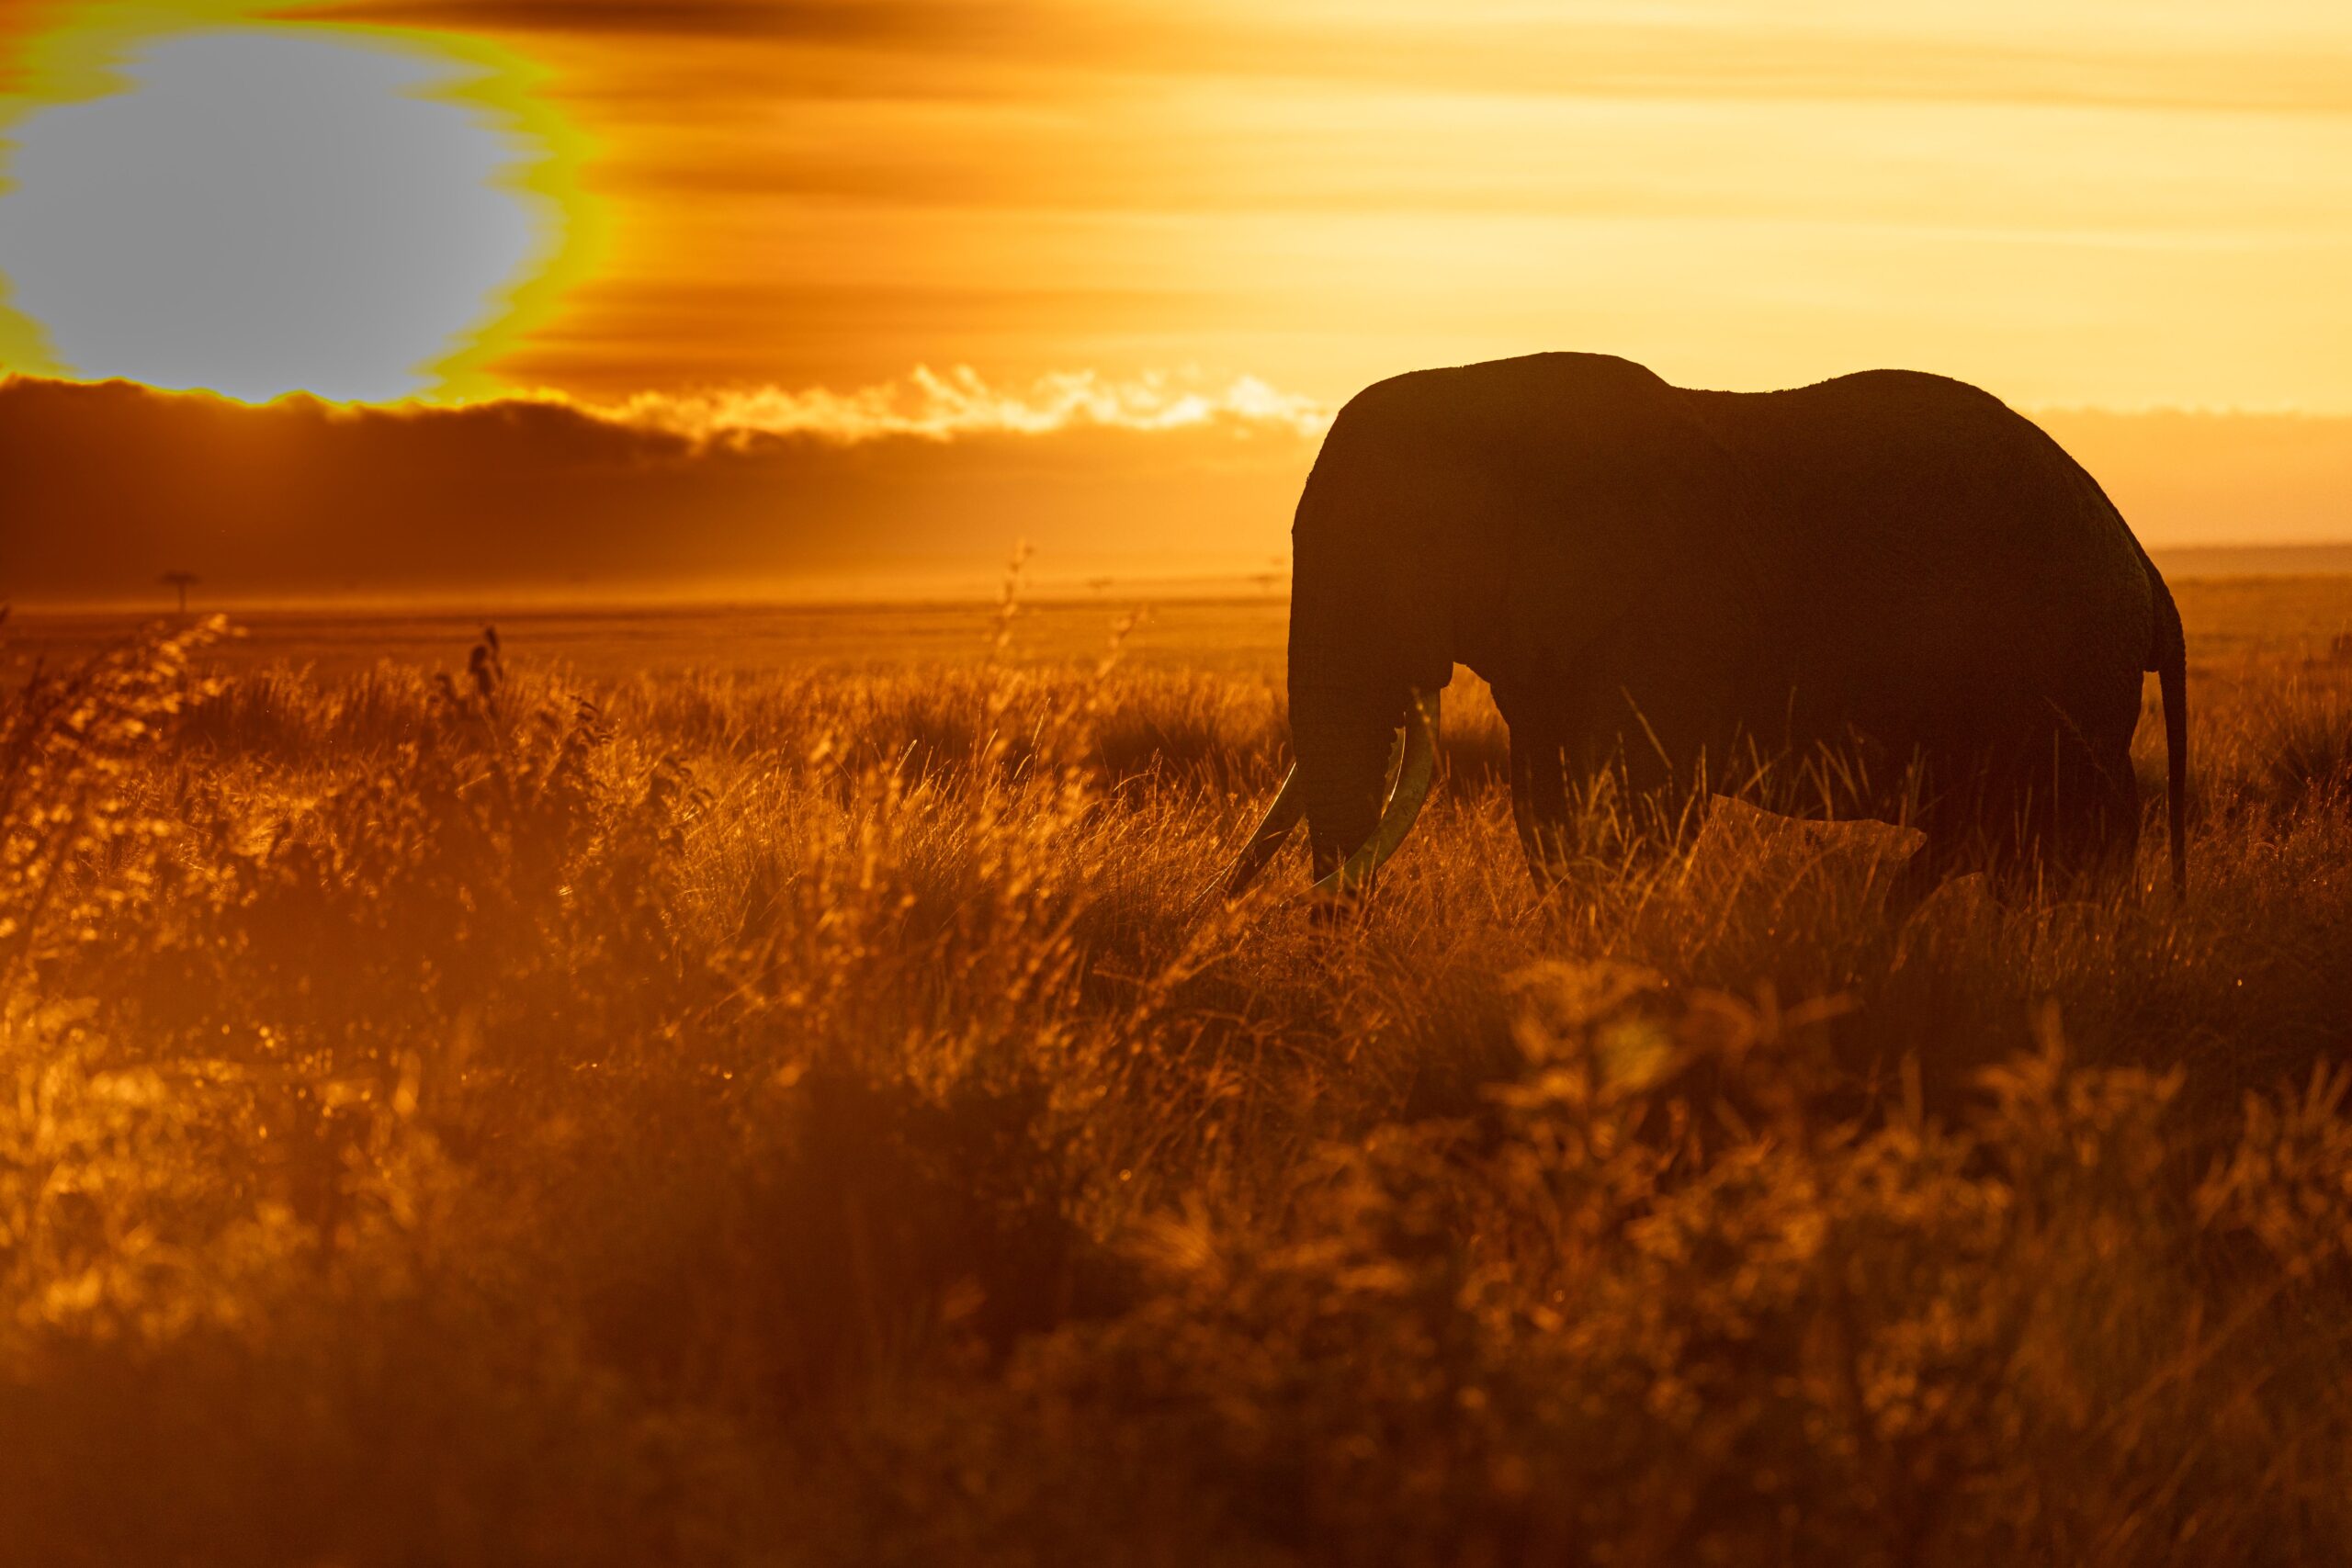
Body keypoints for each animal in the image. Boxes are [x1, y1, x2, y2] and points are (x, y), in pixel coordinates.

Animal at [1221, 352, 2188, 906]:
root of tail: (2143, 562)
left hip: (2066, 667)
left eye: (1411, 547)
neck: (1484, 393)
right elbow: (1549, 804)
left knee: (2047, 833)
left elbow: (1635, 809)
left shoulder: (1672, 614)